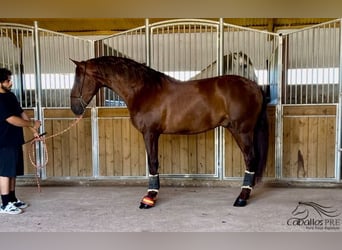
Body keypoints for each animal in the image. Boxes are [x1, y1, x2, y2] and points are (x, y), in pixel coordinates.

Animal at [69, 55, 268, 208]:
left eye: (79, 79)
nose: (74, 108)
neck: (144, 90)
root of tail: (254, 86)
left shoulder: (150, 133)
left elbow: (153, 163)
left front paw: (149, 198)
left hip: (242, 131)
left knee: (250, 159)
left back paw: (242, 199)